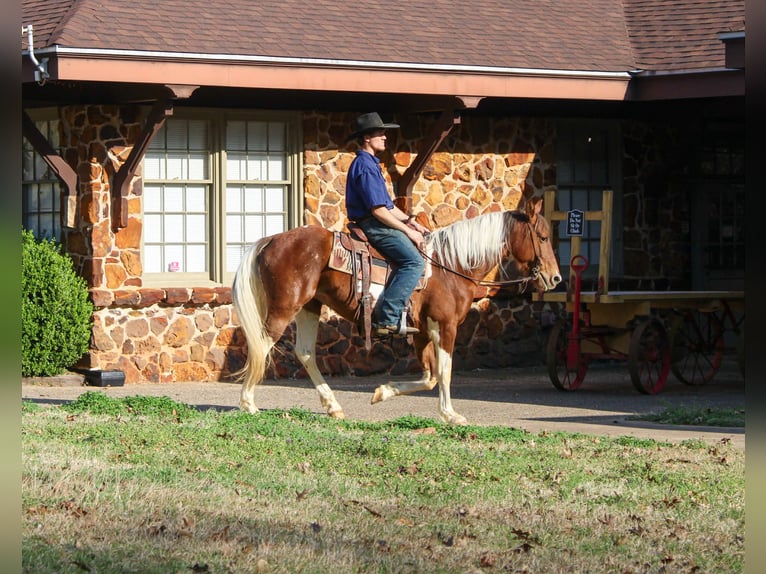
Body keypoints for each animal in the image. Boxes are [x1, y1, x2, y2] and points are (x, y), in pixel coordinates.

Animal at [231, 196, 562, 425]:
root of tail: (270, 240)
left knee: (305, 352)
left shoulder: (423, 331)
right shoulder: (445, 325)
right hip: (285, 307)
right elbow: (444, 372)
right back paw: (248, 403)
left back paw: (333, 405)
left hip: (309, 307)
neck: (451, 265)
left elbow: (430, 376)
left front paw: (383, 392)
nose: (555, 278)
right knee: (262, 345)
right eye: (543, 237)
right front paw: (451, 414)